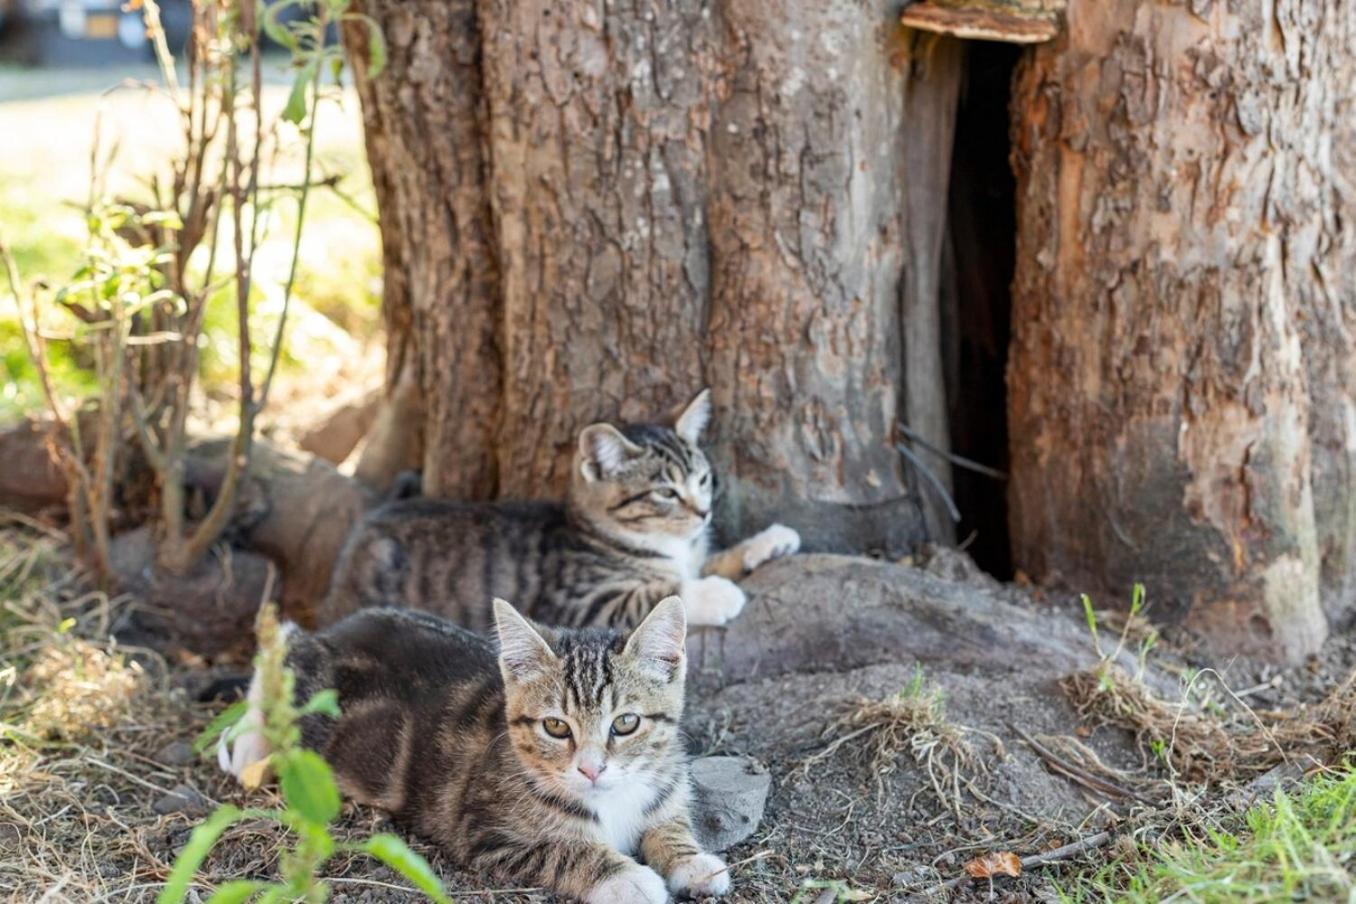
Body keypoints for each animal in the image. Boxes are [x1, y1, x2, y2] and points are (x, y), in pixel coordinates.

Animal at [219, 596, 732, 899]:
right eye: (555, 726)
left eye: (625, 723)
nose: (591, 770)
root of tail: (336, 631)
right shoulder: (486, 834)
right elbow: (565, 849)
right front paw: (627, 877)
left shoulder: (665, 789)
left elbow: (669, 824)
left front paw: (693, 861)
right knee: (280, 645)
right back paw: (248, 749)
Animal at [318, 390, 797, 628]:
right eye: (665, 492)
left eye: (702, 480)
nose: (704, 514)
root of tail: (370, 520)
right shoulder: (577, 606)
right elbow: (659, 593)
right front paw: (716, 594)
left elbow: (710, 559)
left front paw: (769, 541)